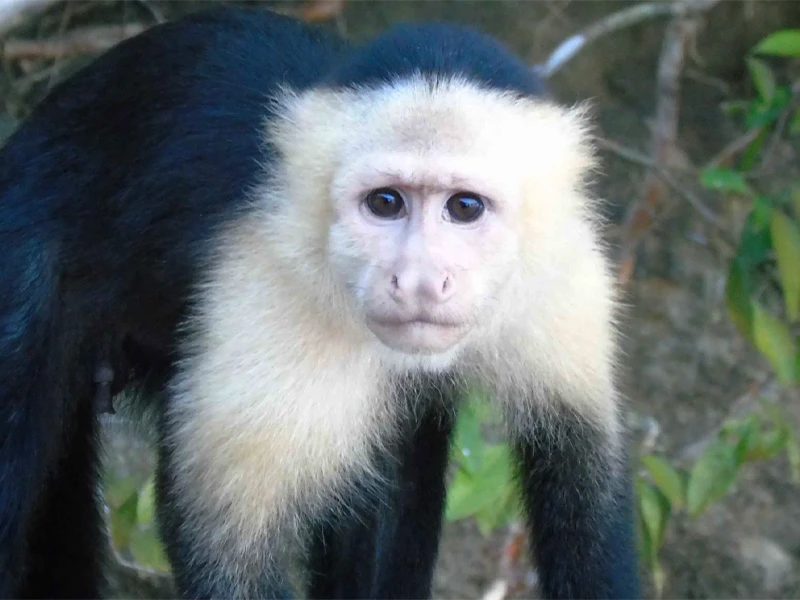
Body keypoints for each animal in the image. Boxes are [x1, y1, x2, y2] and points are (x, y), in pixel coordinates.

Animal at [0, 7, 640, 600]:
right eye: (385, 203)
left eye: (464, 207)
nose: (419, 280)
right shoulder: (267, 288)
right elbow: (229, 550)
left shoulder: (567, 268)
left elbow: (586, 483)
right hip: (23, 250)